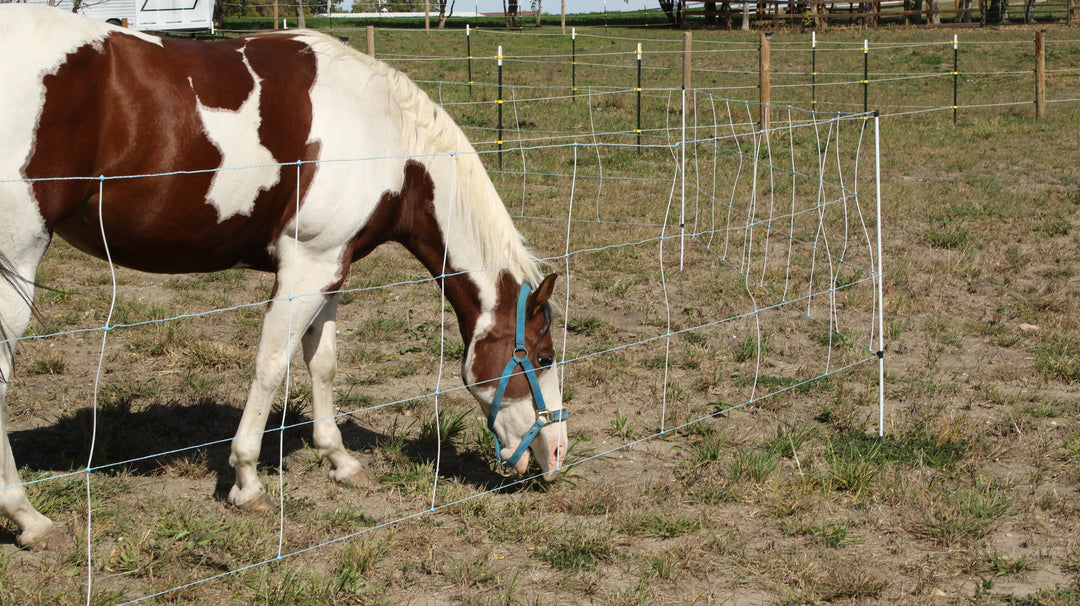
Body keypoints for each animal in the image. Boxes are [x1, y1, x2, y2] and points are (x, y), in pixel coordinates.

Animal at [0, 4, 570, 550]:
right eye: (543, 358)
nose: (558, 454)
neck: (384, 135)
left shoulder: (332, 265)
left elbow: (323, 363)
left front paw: (340, 460)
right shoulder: (306, 266)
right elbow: (272, 365)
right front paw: (247, 482)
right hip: (17, 265)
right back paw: (30, 519)